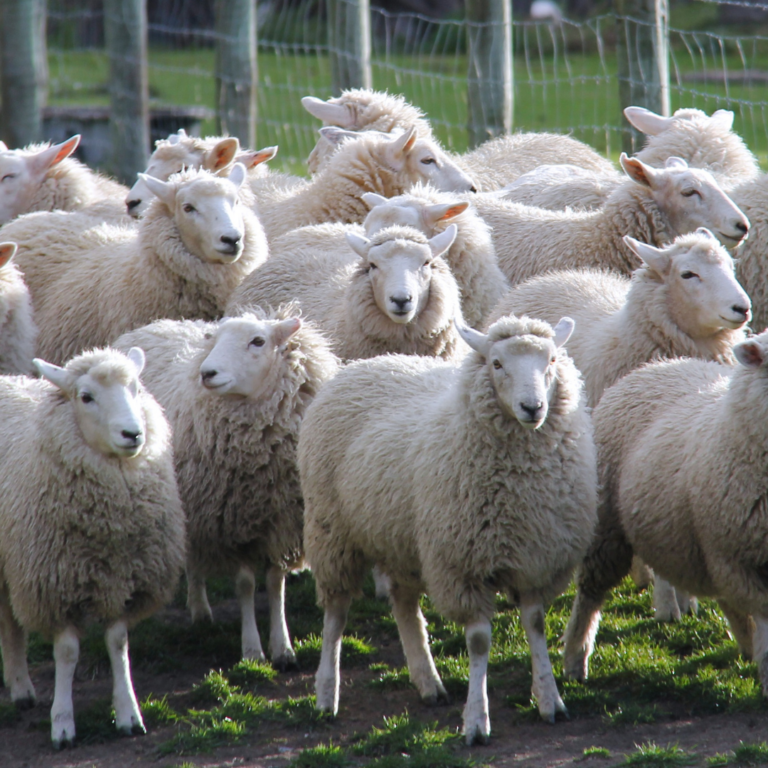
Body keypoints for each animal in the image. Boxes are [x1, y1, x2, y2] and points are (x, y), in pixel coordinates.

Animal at [0, 346, 185, 747]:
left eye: (135, 388)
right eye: (86, 397)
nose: (133, 434)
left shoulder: (123, 579)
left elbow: (118, 643)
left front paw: (129, 713)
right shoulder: (55, 583)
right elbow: (67, 652)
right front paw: (62, 723)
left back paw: (20, 689)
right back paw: (21, 685)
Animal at [114, 307, 339, 668]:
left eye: (258, 341)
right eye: (216, 340)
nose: (207, 373)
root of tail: (156, 324)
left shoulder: (279, 522)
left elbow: (275, 583)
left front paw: (282, 647)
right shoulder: (233, 523)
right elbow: (246, 585)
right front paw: (252, 649)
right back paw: (199, 610)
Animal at [299, 315, 597, 744]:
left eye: (552, 359)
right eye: (496, 363)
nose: (533, 407)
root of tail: (361, 365)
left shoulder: (535, 558)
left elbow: (535, 624)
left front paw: (549, 699)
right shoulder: (463, 565)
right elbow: (478, 641)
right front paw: (476, 720)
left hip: (400, 539)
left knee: (404, 604)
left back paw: (428, 682)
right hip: (332, 532)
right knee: (336, 614)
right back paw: (326, 695)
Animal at [562, 332, 768, 697]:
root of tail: (657, 365)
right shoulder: (741, 561)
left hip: (696, 539)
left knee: (726, 598)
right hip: (608, 529)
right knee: (590, 594)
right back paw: (575, 660)